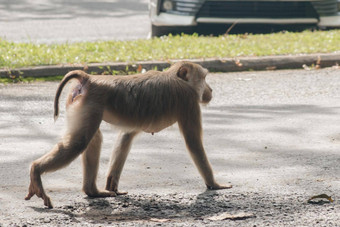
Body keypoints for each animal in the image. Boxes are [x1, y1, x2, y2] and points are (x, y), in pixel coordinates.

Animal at [25, 61, 231, 208]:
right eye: (204, 78)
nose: (210, 90)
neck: (176, 78)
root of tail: (89, 79)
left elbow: (126, 136)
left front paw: (112, 184)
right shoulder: (188, 101)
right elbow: (193, 143)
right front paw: (215, 184)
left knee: (93, 139)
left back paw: (93, 191)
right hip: (89, 105)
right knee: (79, 142)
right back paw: (36, 170)